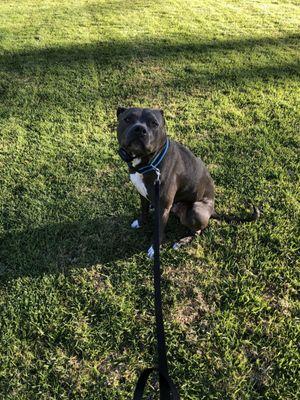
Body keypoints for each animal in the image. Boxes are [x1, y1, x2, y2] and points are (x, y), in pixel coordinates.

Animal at [116, 107, 258, 256]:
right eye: (127, 119)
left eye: (154, 123)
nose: (139, 129)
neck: (149, 162)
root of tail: (212, 210)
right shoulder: (142, 193)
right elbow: (143, 210)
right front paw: (141, 222)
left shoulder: (163, 208)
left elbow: (159, 232)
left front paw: (155, 250)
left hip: (196, 210)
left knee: (198, 231)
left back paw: (182, 241)